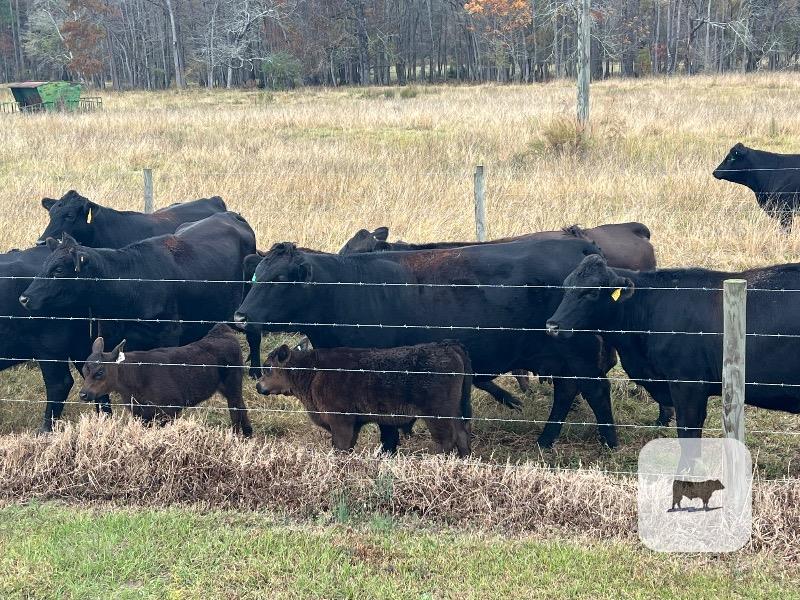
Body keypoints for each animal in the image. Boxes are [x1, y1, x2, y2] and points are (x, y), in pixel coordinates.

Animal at [78, 325, 252, 436]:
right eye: (84, 370)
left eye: (100, 372)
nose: (83, 394)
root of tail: (222, 330)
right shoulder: (140, 414)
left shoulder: (170, 408)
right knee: (241, 406)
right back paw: (248, 434)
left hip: (233, 382)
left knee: (236, 409)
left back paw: (236, 436)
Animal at [256, 341, 471, 455]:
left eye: (267, 367)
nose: (258, 385)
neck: (312, 372)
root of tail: (446, 346)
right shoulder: (353, 423)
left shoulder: (340, 420)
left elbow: (340, 445)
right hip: (453, 411)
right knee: (461, 434)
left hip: (437, 414)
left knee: (446, 439)